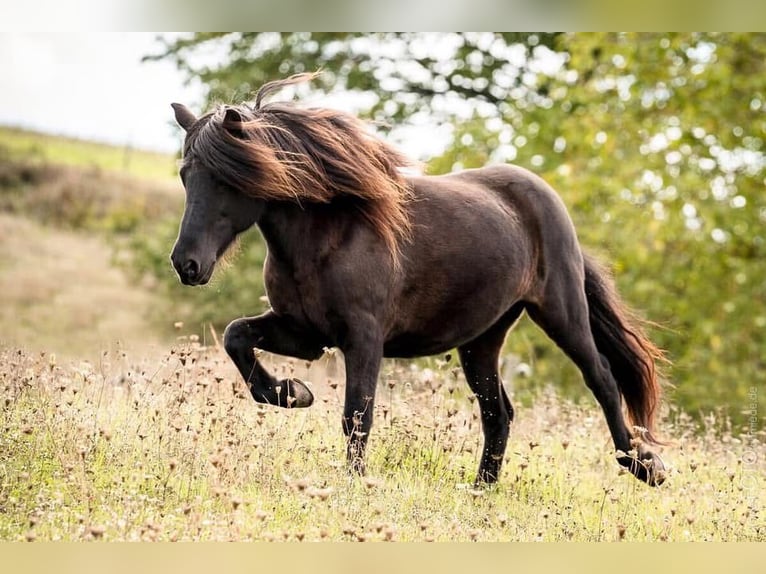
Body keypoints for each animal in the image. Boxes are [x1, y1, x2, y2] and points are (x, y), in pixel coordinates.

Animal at [169, 74, 667, 487]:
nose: (186, 264)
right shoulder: (305, 334)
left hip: (561, 314)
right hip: (482, 340)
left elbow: (357, 416)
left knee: (602, 378)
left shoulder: (363, 339)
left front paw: (353, 484)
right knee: (499, 413)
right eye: (185, 175)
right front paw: (294, 393)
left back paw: (646, 467)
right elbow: (236, 336)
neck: (329, 234)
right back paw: (480, 491)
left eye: (228, 178)